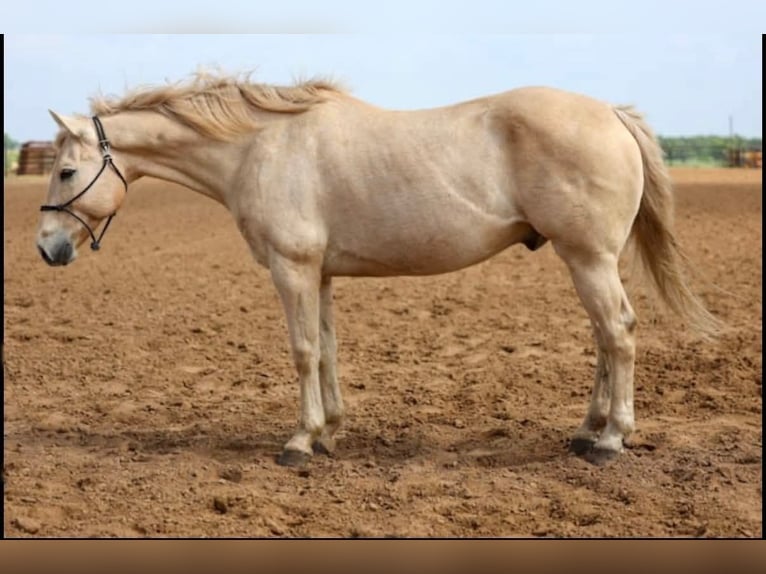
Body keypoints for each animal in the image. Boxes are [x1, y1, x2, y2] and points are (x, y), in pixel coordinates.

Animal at [36, 72, 719, 467]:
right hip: (584, 259)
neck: (260, 147)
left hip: (588, 258)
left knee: (619, 334)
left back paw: (609, 441)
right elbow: (328, 350)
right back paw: (586, 431)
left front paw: (300, 442)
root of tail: (610, 111)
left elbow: (303, 352)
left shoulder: (291, 269)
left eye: (66, 171)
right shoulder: (320, 274)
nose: (46, 248)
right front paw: (330, 433)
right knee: (606, 337)